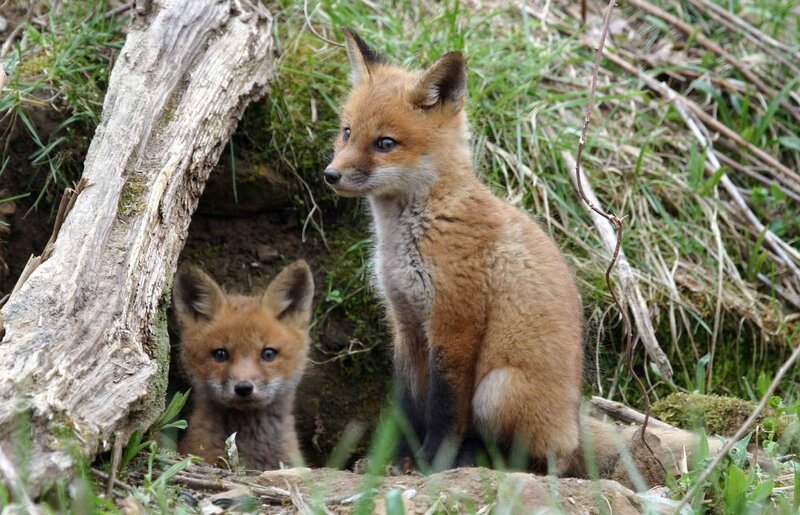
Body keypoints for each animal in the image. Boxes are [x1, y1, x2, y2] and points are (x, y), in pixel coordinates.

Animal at [323, 28, 720, 481]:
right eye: (347, 132)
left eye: (385, 143)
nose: (330, 175)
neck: (417, 231)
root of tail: (573, 420)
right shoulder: (405, 322)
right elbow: (408, 406)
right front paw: (396, 461)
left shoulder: (455, 322)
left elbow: (444, 409)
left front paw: (432, 462)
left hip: (497, 388)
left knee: (542, 459)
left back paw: (480, 460)